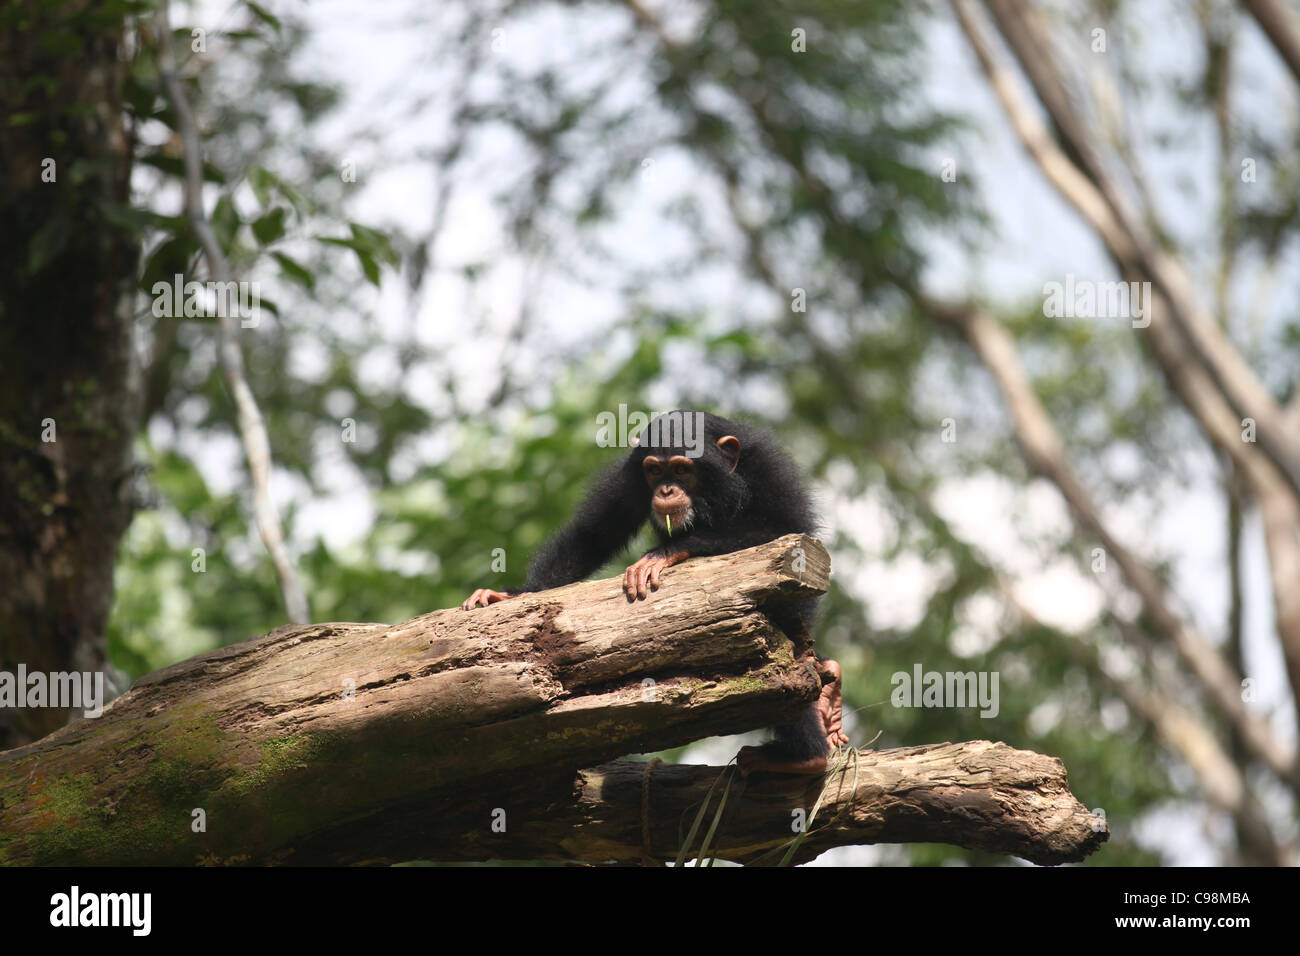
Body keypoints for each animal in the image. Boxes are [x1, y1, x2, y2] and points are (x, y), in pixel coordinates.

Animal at [462, 408, 847, 775]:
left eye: (680, 469)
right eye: (654, 471)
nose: (665, 490)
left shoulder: (771, 473)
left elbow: (785, 534)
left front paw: (666, 552)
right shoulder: (624, 479)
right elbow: (593, 535)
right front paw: (514, 595)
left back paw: (804, 755)